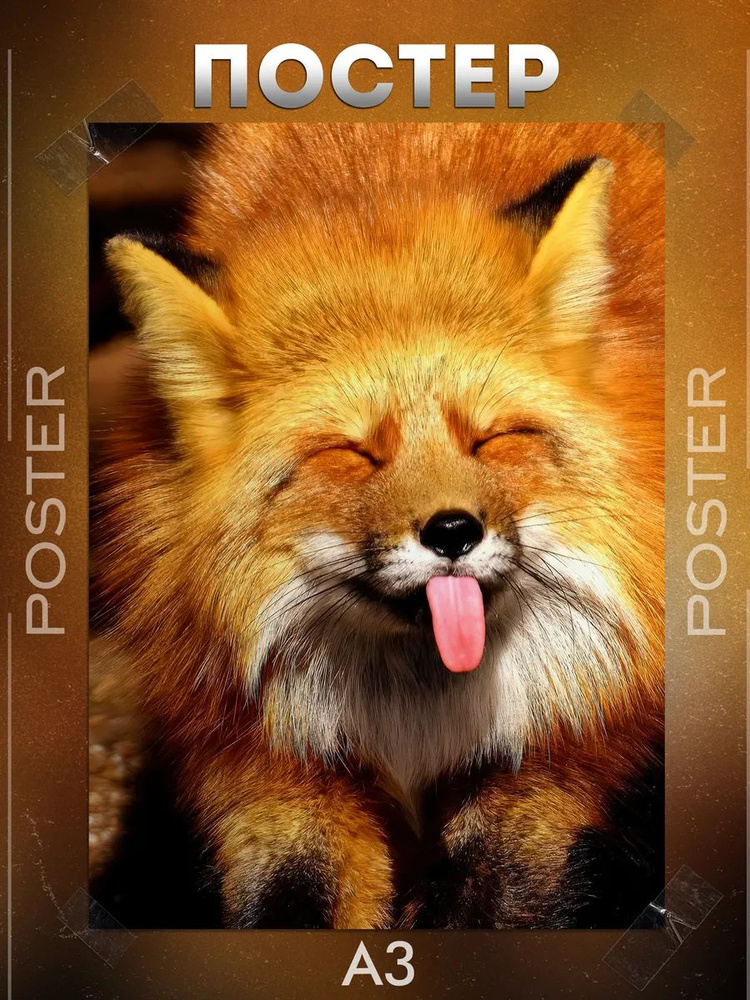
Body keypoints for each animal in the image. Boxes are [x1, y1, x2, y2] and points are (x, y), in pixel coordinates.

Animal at [93, 123, 664, 929]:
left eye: (491, 439)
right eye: (352, 453)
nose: (453, 532)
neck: (418, 719)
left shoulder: (559, 761)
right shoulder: (273, 770)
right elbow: (295, 897)